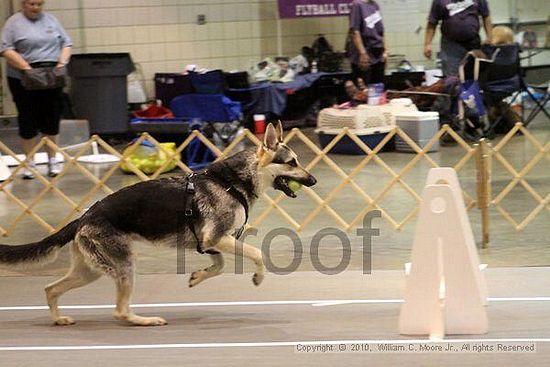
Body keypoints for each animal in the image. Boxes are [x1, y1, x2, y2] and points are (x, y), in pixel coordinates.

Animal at [0, 124, 316, 328]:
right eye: (292, 162)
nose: (312, 181)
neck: (230, 183)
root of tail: (85, 217)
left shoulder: (210, 243)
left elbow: (220, 266)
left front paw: (198, 277)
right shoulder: (217, 239)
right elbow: (256, 254)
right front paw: (258, 278)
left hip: (89, 272)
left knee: (51, 289)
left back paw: (59, 319)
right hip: (124, 266)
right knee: (119, 312)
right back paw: (145, 320)